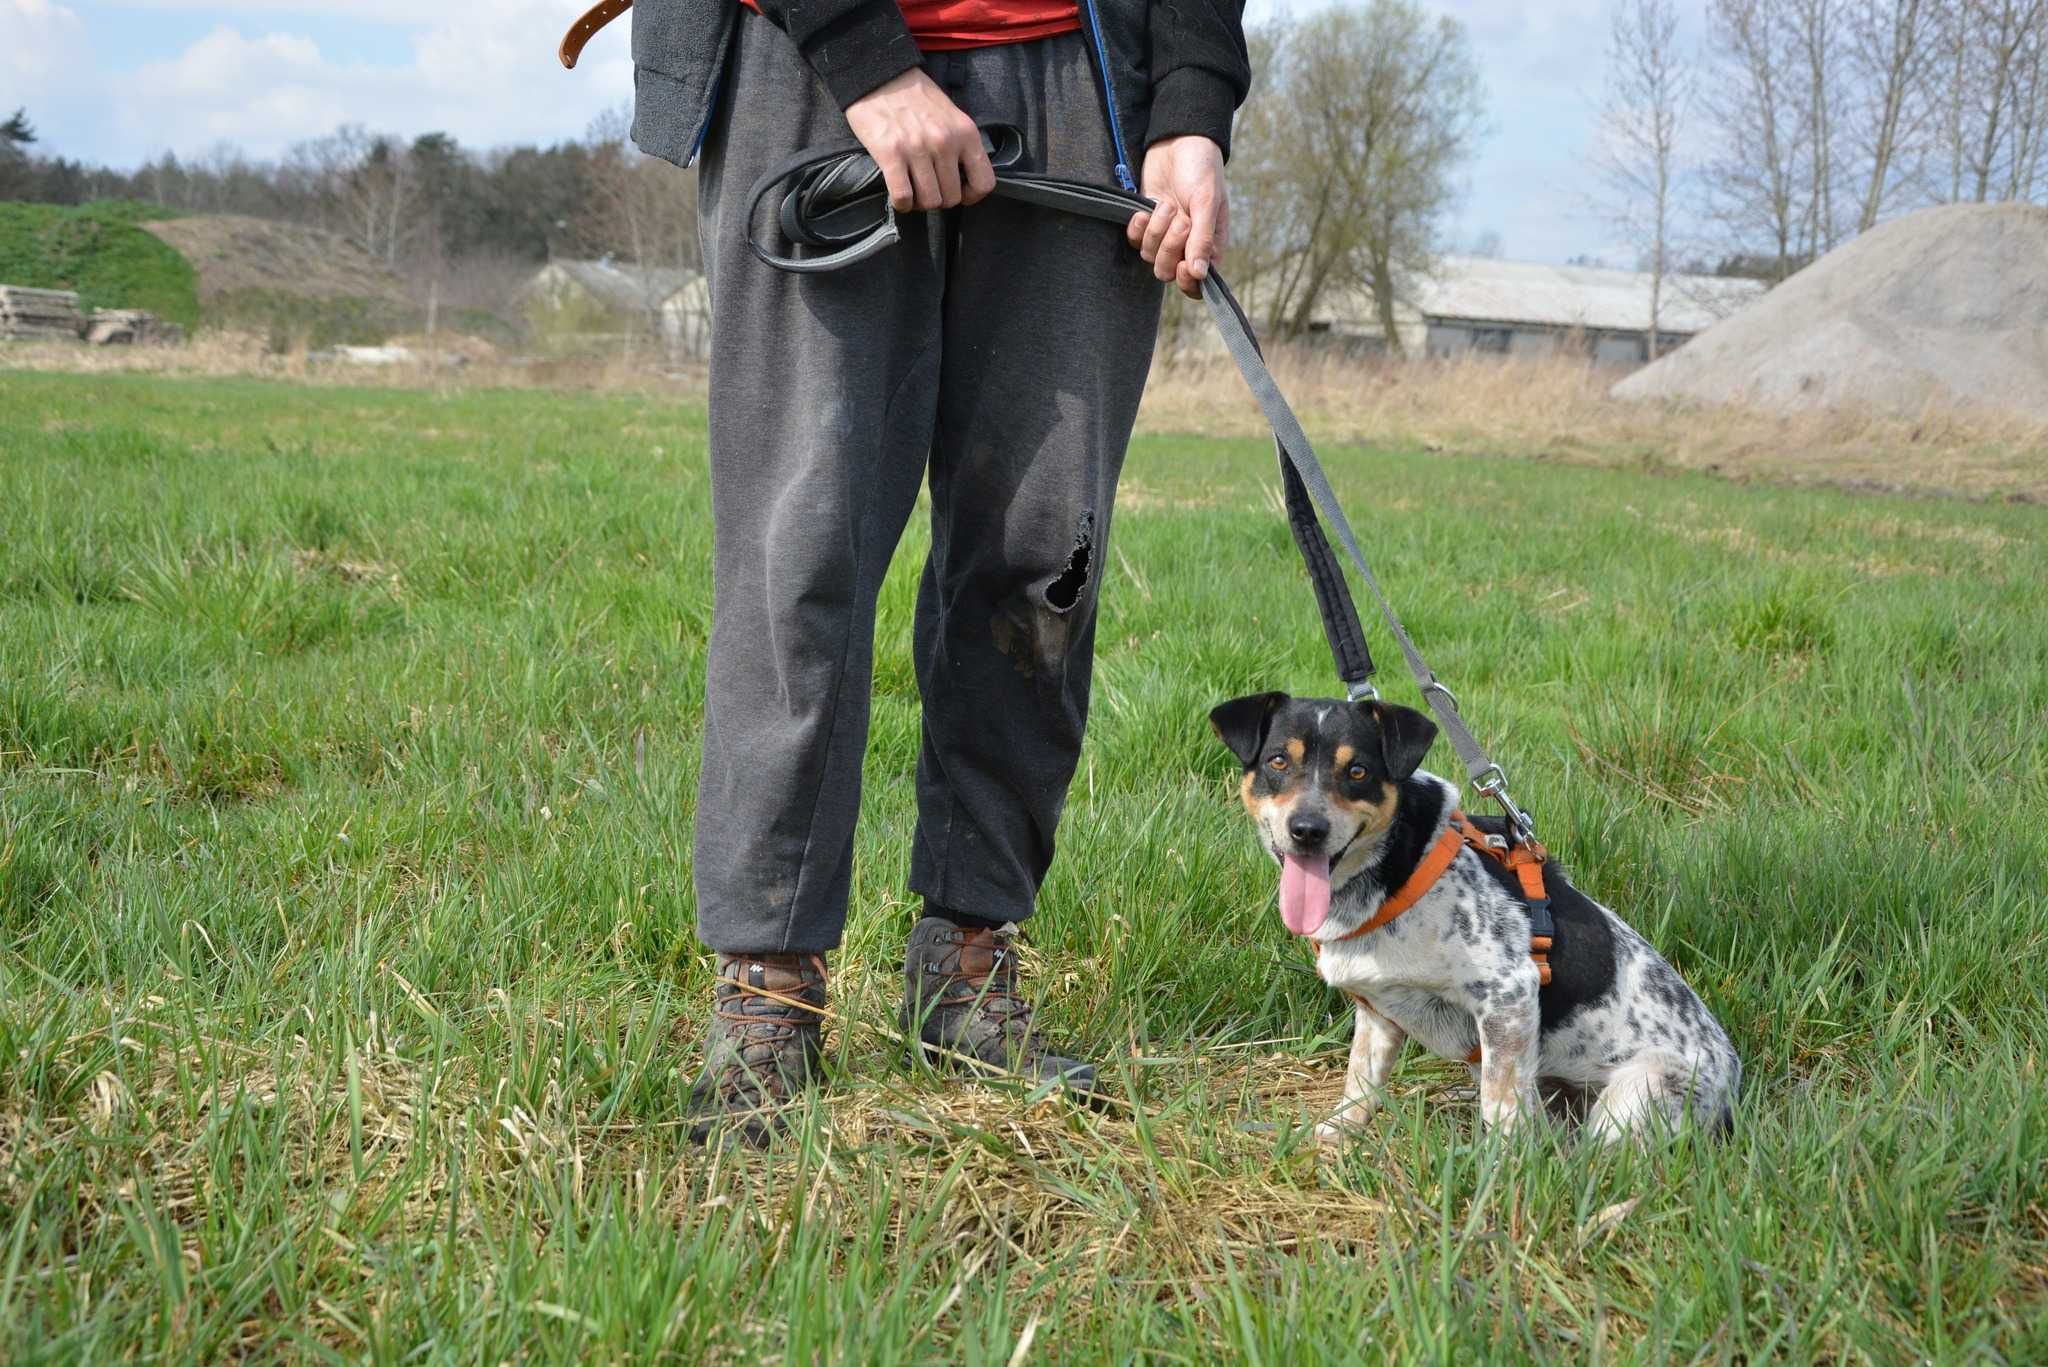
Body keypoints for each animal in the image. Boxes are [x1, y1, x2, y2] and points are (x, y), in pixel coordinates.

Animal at [1204, 696, 1736, 1147]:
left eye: (1357, 771)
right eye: (1277, 761)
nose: (1307, 831)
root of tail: (1732, 1091)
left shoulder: (1508, 997)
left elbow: (1501, 1108)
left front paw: (1499, 1175)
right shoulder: (1378, 1014)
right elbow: (1360, 1083)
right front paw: (1338, 1137)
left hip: (1636, 1097)